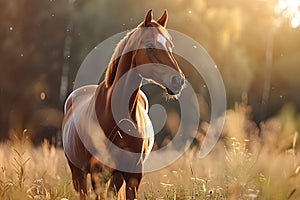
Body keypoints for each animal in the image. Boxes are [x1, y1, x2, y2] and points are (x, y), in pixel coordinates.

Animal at [61, 9, 185, 200]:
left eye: (170, 46)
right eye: (150, 45)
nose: (178, 80)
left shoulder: (133, 175)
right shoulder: (97, 174)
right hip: (78, 173)